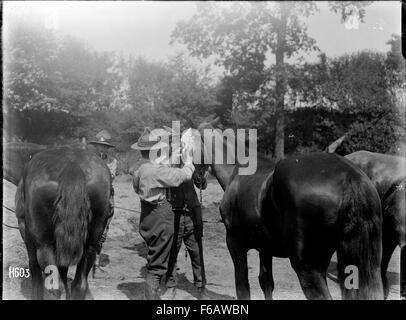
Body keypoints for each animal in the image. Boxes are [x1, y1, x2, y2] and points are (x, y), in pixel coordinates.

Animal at [14, 146, 112, 298]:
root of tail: (72, 165)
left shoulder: (25, 230)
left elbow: (34, 268)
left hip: (44, 246)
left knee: (55, 286)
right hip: (90, 247)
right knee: (79, 285)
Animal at [189, 120, 382, 300]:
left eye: (192, 148)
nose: (197, 179)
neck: (238, 173)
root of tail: (351, 177)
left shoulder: (235, 243)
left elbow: (243, 287)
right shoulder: (265, 248)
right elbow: (266, 282)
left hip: (308, 269)